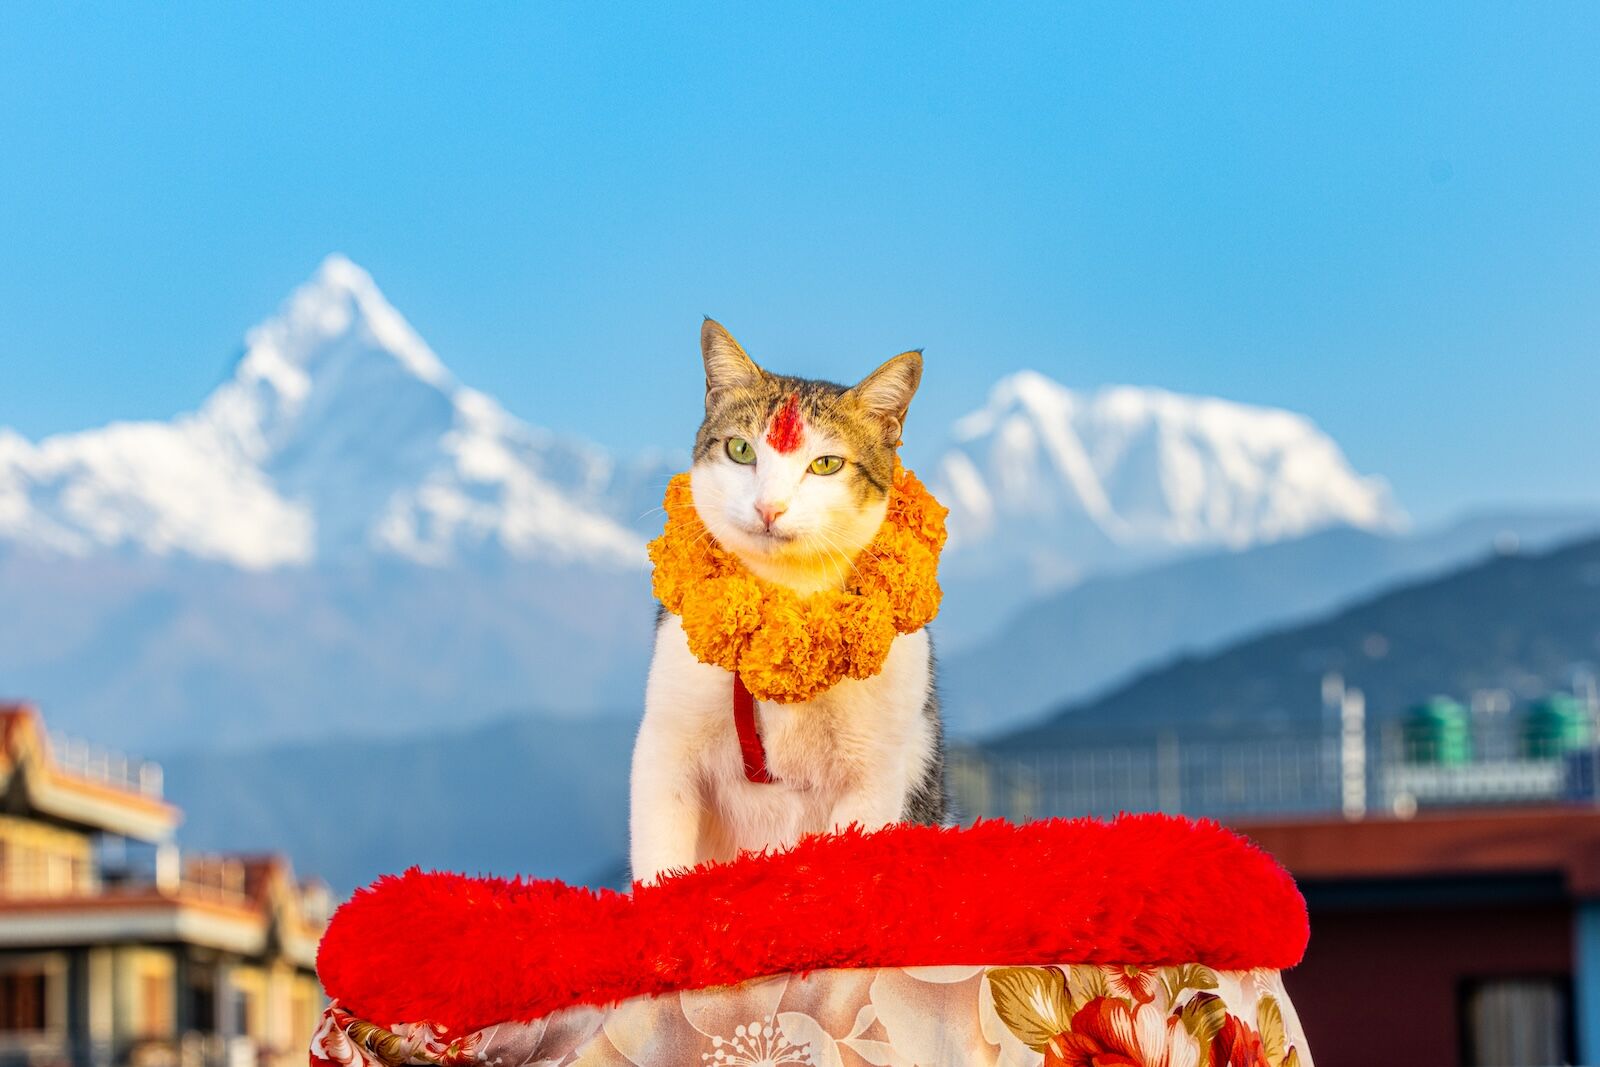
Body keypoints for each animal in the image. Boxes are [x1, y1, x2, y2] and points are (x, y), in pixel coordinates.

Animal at [627, 321, 947, 889]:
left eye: (826, 464)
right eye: (740, 449)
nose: (768, 507)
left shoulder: (874, 770)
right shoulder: (667, 746)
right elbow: (660, 862)